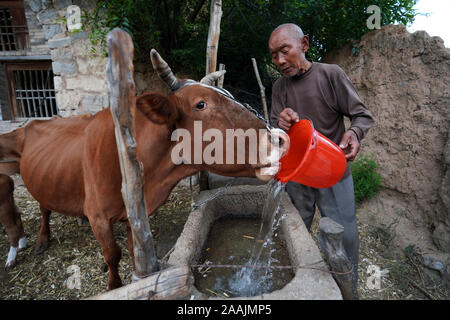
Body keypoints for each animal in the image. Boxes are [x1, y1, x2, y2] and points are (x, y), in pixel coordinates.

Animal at [0, 50, 288, 290]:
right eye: (201, 104)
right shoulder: (99, 217)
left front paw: (137, 277)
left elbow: (131, 247)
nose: (279, 138)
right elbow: (112, 254)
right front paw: (114, 286)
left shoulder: (135, 214)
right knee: (43, 208)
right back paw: (42, 239)